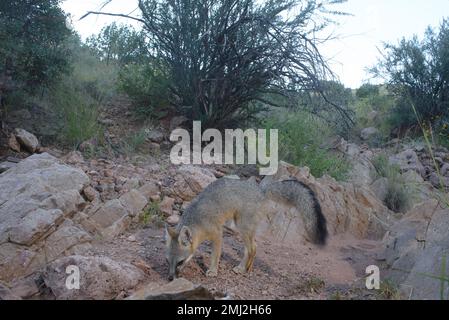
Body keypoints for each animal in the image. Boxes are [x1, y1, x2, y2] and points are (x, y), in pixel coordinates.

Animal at [166, 178, 328, 280]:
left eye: (180, 262)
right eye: (168, 262)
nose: (170, 278)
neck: (197, 220)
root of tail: (260, 189)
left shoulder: (217, 233)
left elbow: (215, 255)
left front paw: (212, 270)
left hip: (242, 227)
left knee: (252, 249)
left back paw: (243, 269)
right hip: (244, 229)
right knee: (251, 248)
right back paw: (246, 268)